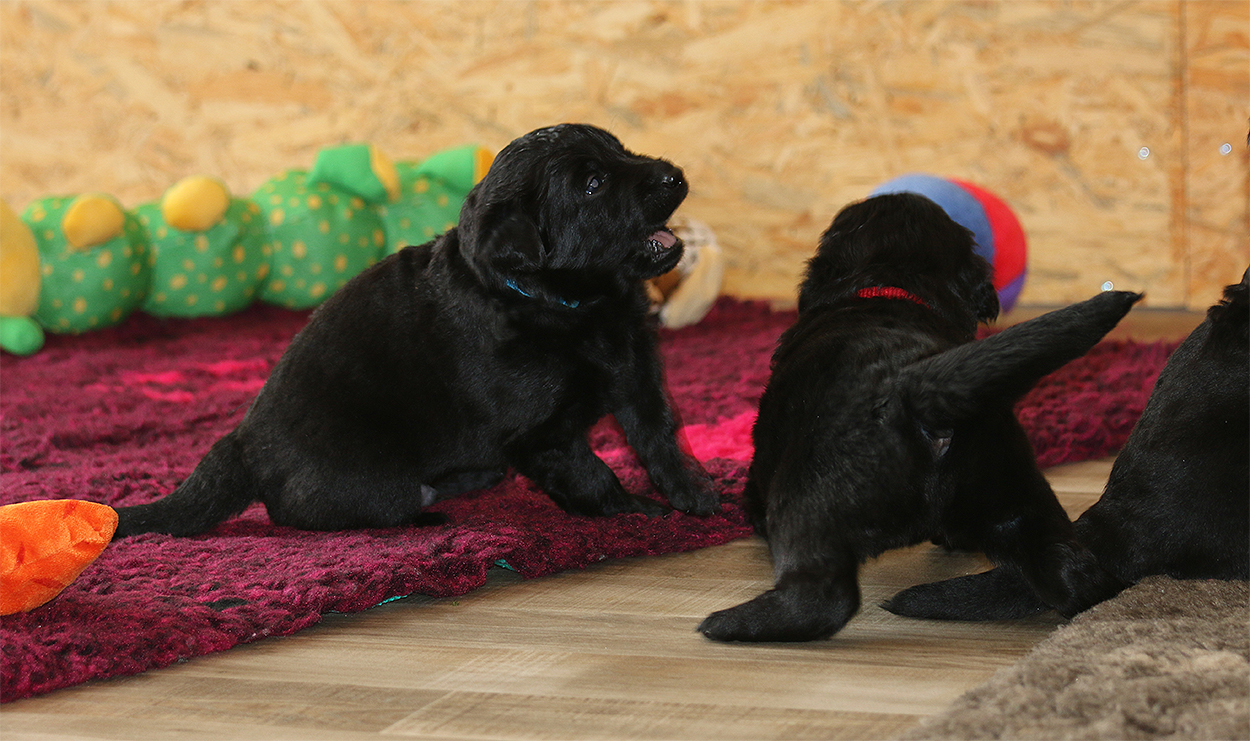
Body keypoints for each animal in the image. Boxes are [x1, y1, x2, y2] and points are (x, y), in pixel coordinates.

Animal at [114, 123, 719, 538]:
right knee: (311, 512)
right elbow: (591, 473)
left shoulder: (636, 372)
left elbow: (661, 436)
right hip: (375, 481)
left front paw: (695, 493)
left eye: (620, 148)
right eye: (593, 184)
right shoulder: (540, 436)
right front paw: (634, 510)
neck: (573, 307)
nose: (674, 174)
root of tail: (241, 442)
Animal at [697, 192, 1141, 642]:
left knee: (821, 598)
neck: (890, 287)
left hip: (806, 495)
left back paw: (731, 622)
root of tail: (913, 389)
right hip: (1013, 486)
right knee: (1072, 572)